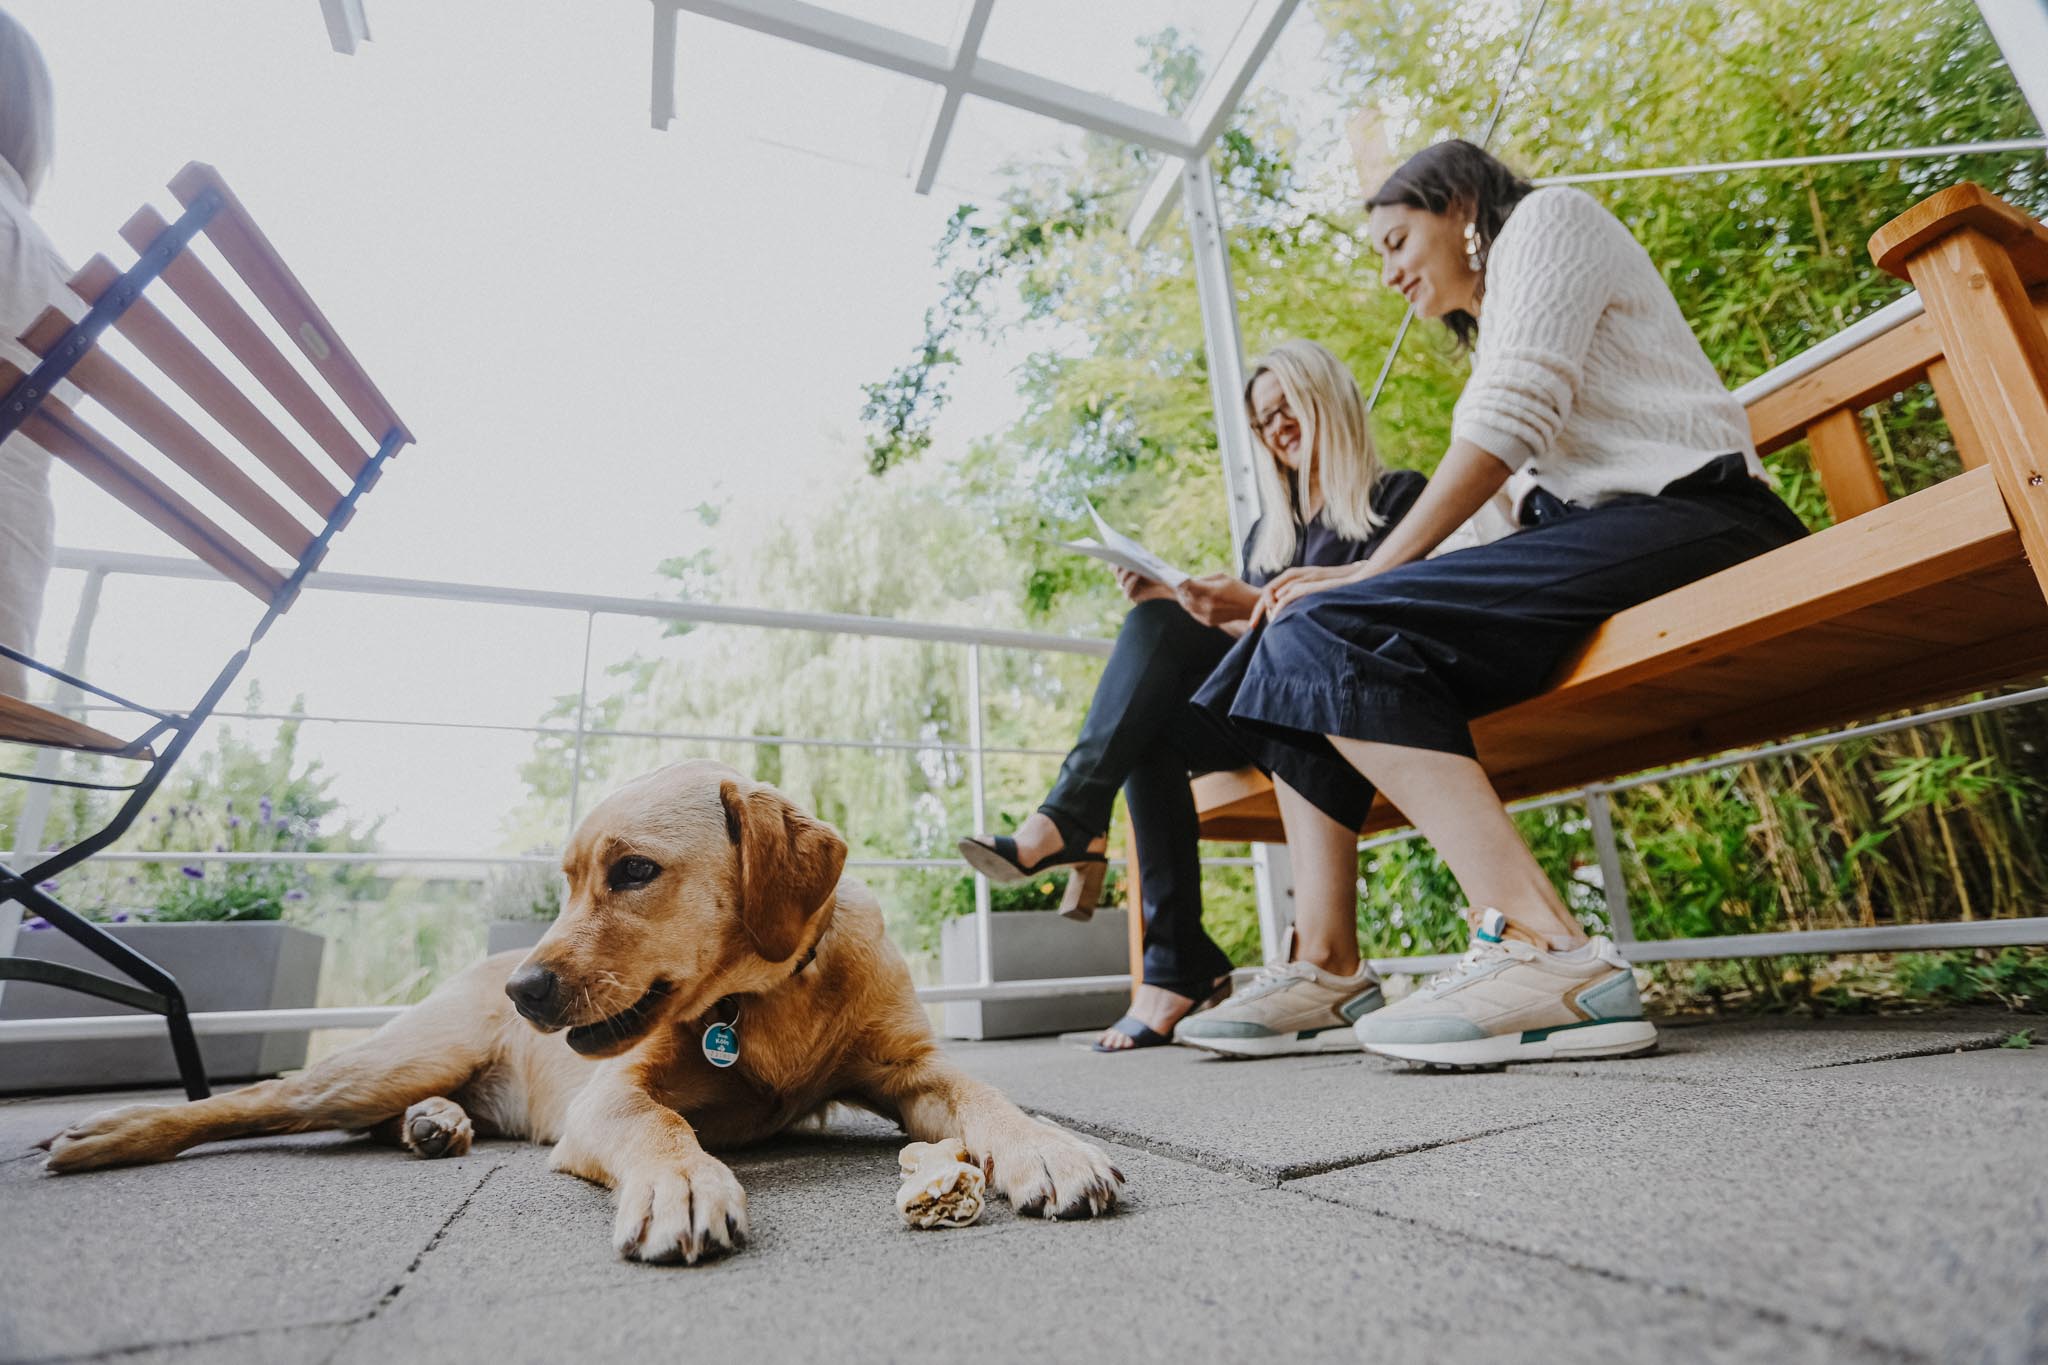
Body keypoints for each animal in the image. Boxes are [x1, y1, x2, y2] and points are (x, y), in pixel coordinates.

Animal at [39, 757, 1130, 1260]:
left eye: (632, 872)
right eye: (565, 882)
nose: (523, 988)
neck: (762, 999)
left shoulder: (915, 1069)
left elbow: (994, 1101)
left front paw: (1047, 1148)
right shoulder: (612, 1097)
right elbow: (660, 1128)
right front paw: (682, 1183)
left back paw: (434, 1127)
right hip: (376, 1065)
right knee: (249, 1102)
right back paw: (110, 1132)